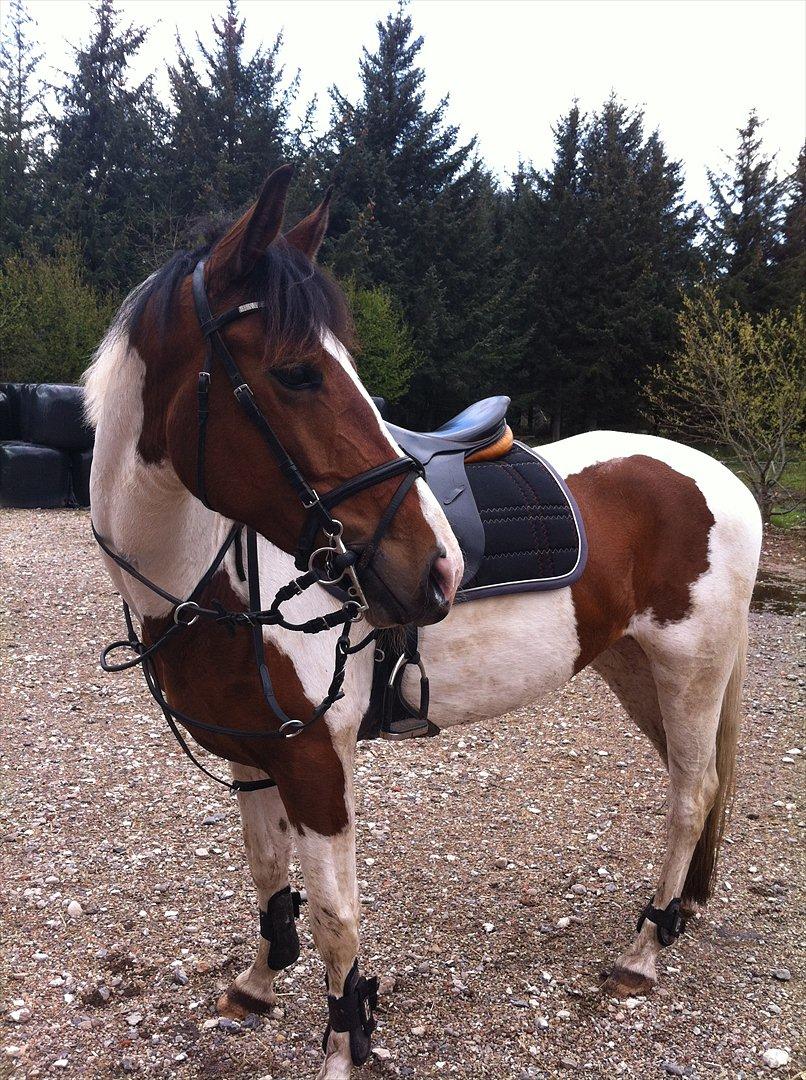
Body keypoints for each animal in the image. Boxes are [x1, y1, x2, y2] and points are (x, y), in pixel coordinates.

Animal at [84, 165, 762, 1079]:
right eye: (296, 372)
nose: (436, 569)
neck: (212, 577)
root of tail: (719, 477)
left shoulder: (317, 761)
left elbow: (335, 916)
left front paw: (346, 1043)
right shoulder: (252, 753)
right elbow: (266, 878)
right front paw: (257, 985)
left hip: (691, 669)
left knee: (692, 795)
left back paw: (641, 954)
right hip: (635, 668)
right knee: (701, 786)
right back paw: (678, 914)